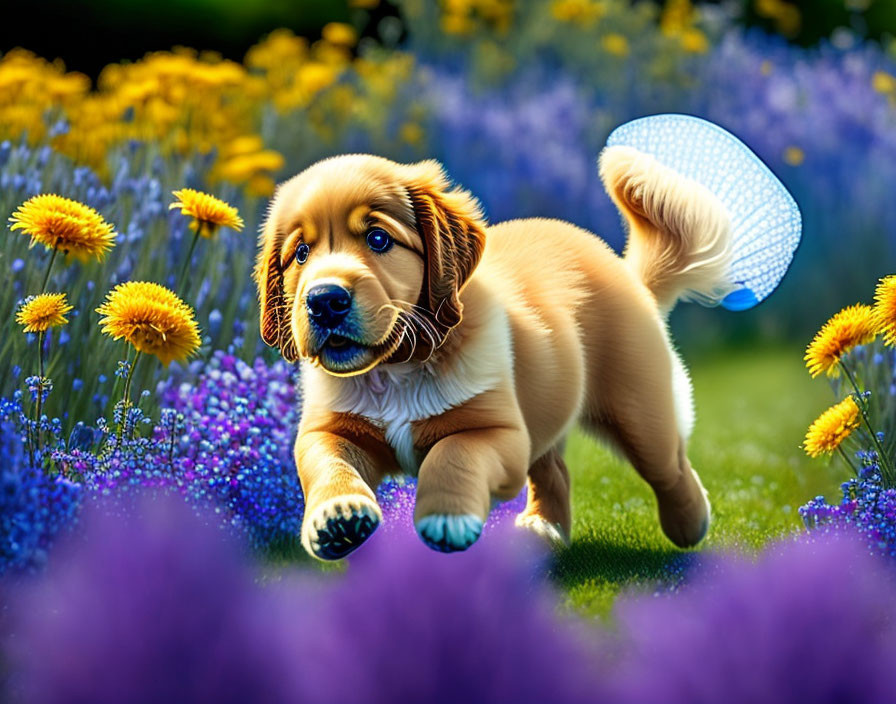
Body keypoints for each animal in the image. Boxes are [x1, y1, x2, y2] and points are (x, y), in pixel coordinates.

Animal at [256, 115, 800, 560]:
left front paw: (446, 518)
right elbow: (326, 463)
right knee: (556, 470)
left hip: (638, 406)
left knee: (670, 465)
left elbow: (452, 456)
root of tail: (624, 271)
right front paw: (337, 517)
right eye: (301, 254)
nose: (324, 300)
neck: (396, 368)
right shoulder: (329, 428)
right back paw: (544, 530)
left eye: (377, 239)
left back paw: (690, 523)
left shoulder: (497, 432)